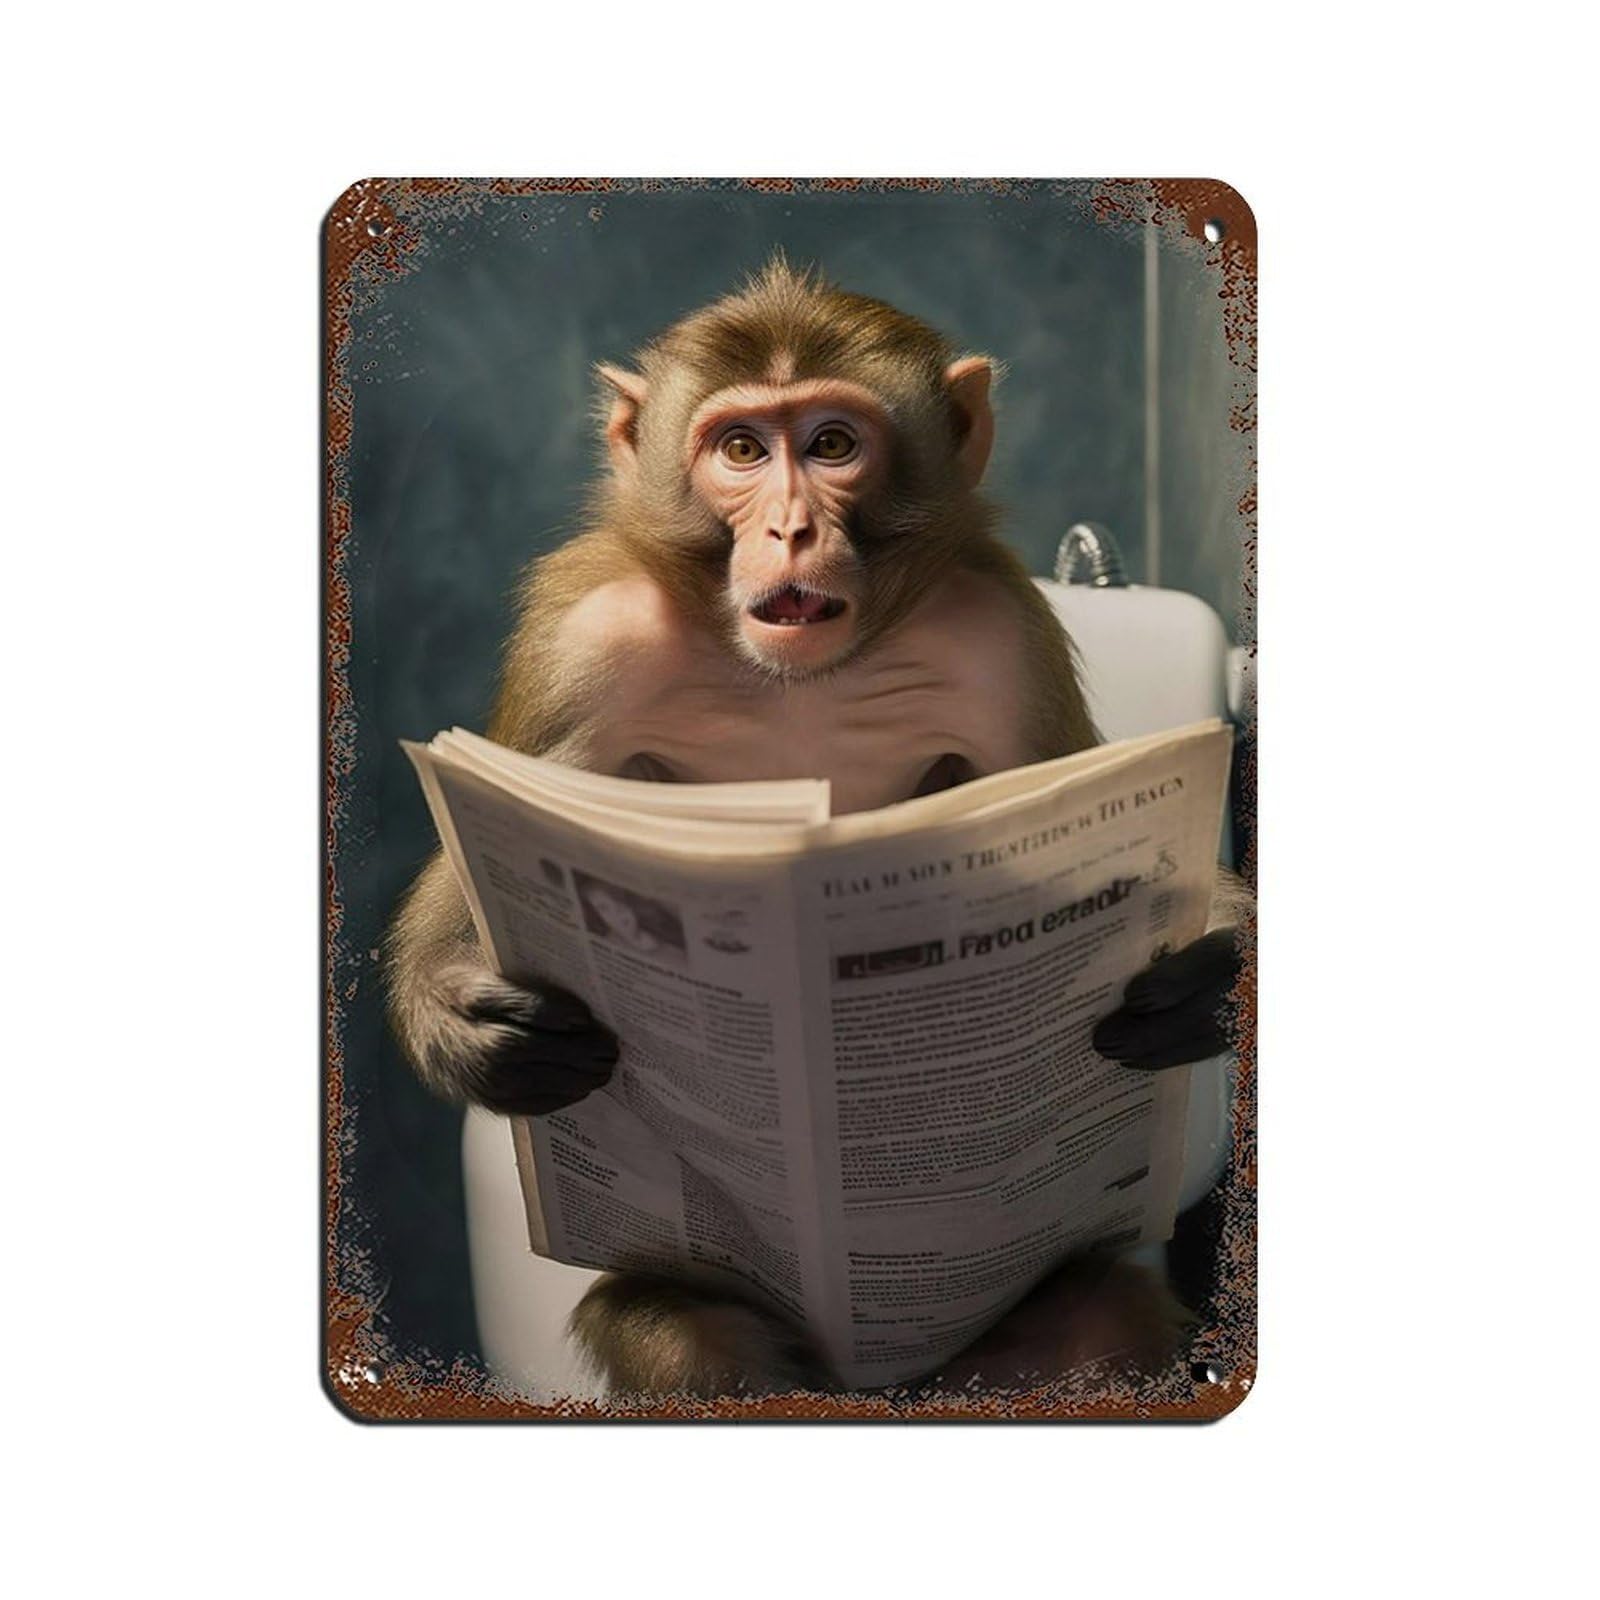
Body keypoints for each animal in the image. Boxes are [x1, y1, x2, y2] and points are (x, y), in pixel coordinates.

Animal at [386, 258, 1247, 1397]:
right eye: (743, 449)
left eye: (834, 443)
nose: (791, 528)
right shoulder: (580, 639)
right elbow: (478, 853)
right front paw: (461, 1018)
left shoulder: (1002, 638)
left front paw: (1203, 981)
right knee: (691, 1332)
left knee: (1096, 1322)